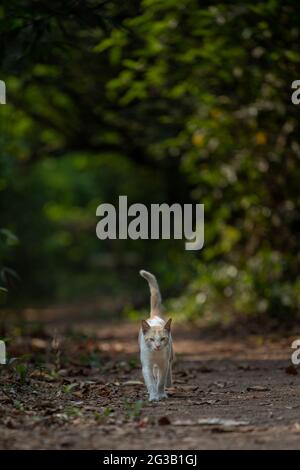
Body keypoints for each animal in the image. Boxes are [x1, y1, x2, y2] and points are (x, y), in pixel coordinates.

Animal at [139, 270, 173, 402]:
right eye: (151, 339)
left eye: (162, 339)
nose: (158, 346)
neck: (156, 354)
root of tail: (154, 316)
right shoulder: (146, 366)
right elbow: (151, 382)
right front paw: (153, 396)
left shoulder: (163, 364)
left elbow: (160, 381)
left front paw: (161, 394)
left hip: (171, 354)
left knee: (168, 369)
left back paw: (169, 383)